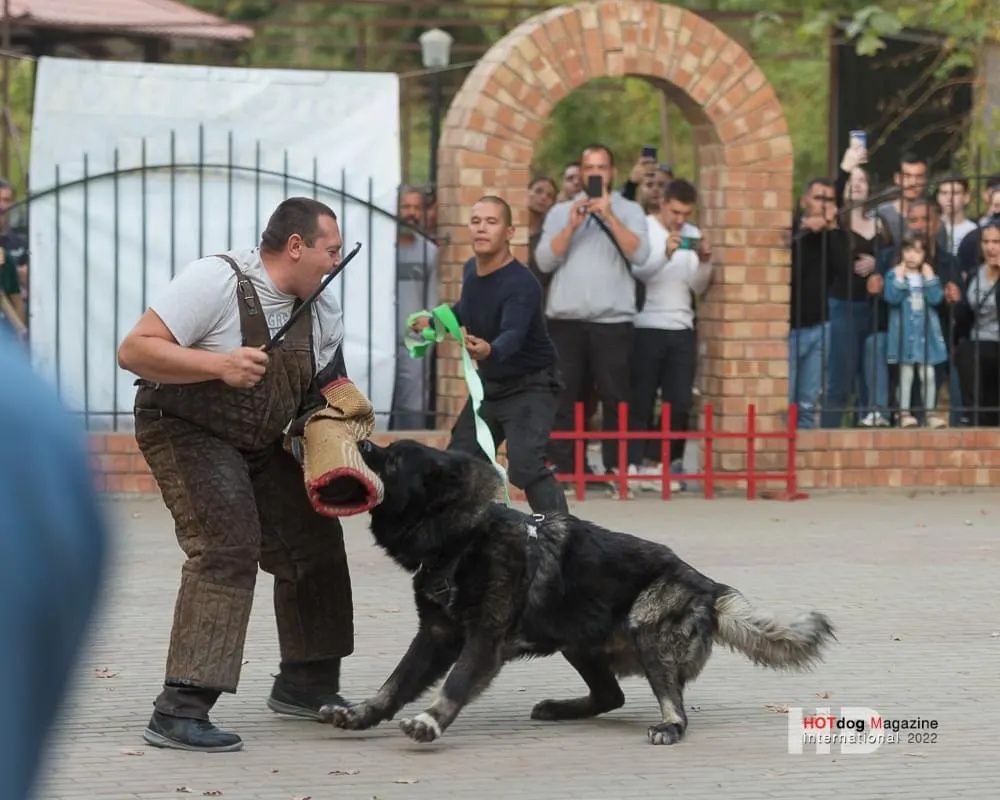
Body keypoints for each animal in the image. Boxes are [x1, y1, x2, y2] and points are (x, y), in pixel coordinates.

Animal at [322, 438, 836, 744]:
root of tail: (708, 586)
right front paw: (363, 714)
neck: (464, 539)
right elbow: (396, 683)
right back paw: (562, 708)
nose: (362, 441)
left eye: (393, 460)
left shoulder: (482, 641)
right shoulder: (435, 637)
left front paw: (430, 721)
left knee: (670, 705)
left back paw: (668, 726)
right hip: (576, 642)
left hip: (645, 627)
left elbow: (455, 684)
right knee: (611, 695)